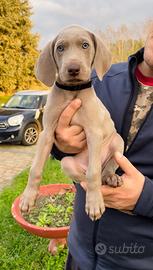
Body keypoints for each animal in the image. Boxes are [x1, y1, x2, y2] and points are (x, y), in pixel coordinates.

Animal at [19, 24, 124, 220]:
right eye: (60, 48)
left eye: (85, 45)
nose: (73, 69)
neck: (72, 92)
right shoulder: (47, 133)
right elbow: (35, 169)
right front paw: (28, 198)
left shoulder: (94, 133)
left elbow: (93, 173)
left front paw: (95, 203)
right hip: (67, 162)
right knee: (83, 179)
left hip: (117, 141)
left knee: (103, 169)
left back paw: (110, 179)